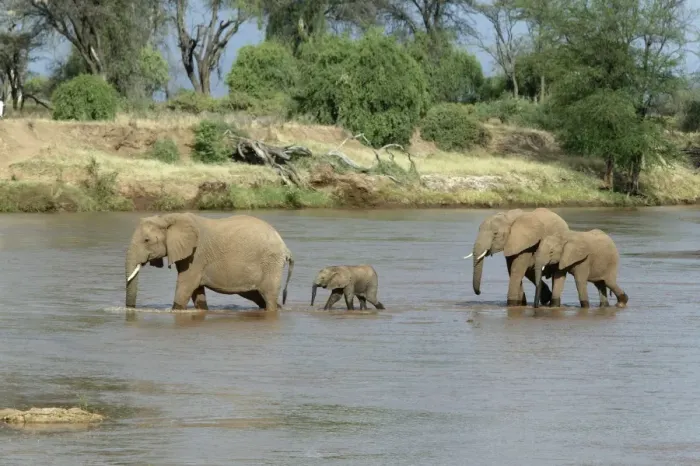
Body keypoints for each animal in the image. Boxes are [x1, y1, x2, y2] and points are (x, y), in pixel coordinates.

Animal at [125, 213, 294, 312]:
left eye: (146, 240)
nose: (130, 309)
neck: (169, 217)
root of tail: (286, 248)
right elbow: (196, 291)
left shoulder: (196, 255)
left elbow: (186, 286)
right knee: (258, 296)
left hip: (271, 263)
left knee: (268, 296)